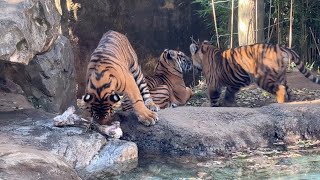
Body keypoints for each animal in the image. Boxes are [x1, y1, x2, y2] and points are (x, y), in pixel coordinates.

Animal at [190, 40, 320, 107]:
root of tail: (279, 47)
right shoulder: (234, 83)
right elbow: (229, 93)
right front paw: (229, 104)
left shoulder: (213, 83)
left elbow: (214, 97)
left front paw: (214, 106)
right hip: (281, 75)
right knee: (288, 89)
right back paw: (290, 102)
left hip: (263, 78)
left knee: (280, 89)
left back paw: (279, 103)